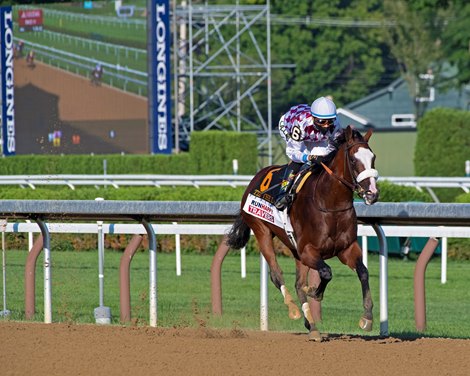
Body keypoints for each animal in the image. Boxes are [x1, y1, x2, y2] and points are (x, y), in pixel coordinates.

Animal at [226, 126, 380, 340]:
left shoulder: (346, 249)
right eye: (352, 159)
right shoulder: (308, 250)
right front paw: (315, 292)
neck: (330, 205)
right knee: (276, 274)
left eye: (373, 157)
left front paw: (367, 318)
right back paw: (293, 309)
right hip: (261, 230)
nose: (372, 193)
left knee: (299, 284)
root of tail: (256, 177)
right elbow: (326, 272)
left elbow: (363, 272)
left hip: (295, 249)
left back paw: (312, 326)